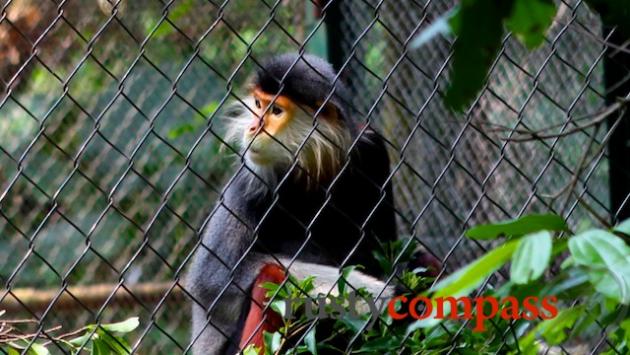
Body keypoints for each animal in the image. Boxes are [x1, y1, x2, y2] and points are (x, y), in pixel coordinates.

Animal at [186, 53, 434, 355]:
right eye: (258, 104)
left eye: (275, 111)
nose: (253, 127)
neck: (312, 164)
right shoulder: (249, 179)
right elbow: (211, 279)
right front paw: (388, 294)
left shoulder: (371, 147)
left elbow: (385, 248)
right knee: (271, 275)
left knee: (424, 259)